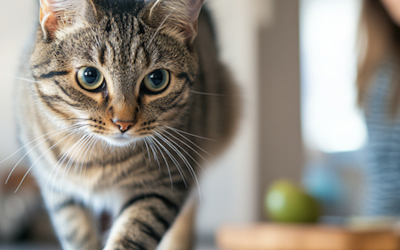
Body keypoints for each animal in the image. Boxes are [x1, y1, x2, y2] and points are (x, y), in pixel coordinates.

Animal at [13, 0, 238, 249]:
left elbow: (132, 234)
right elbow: (78, 235)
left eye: (157, 79)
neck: (99, 157)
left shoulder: (164, 183)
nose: (124, 123)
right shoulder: (58, 190)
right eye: (89, 76)